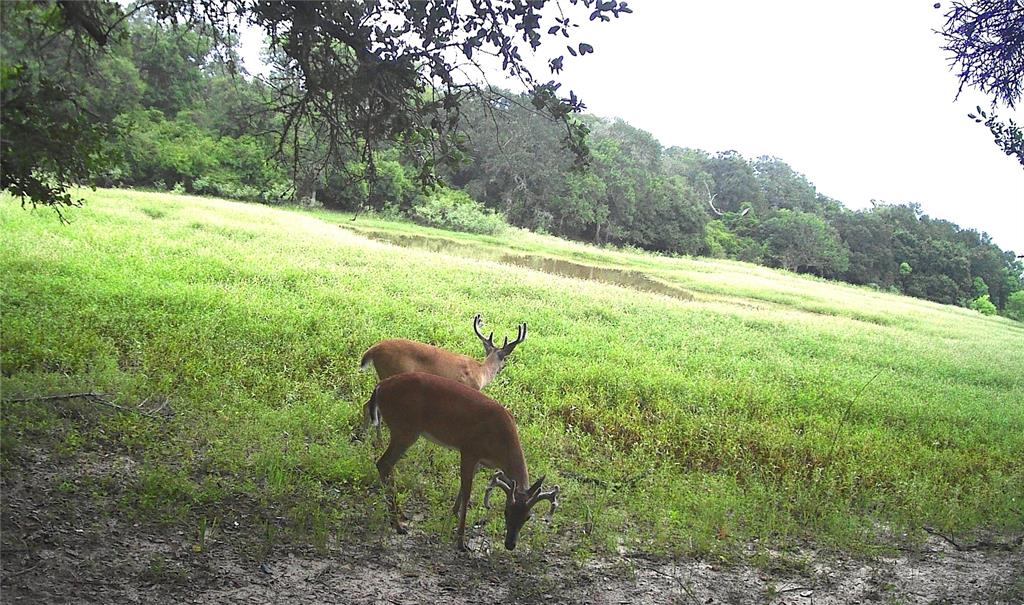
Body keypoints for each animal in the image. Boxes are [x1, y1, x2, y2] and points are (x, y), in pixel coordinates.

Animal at [364, 372, 561, 552]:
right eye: (506, 511)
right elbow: (467, 493)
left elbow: (462, 489)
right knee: (383, 463)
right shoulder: (469, 450)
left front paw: (451, 514)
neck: (501, 443)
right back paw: (397, 525)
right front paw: (461, 542)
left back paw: (401, 515)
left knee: (387, 465)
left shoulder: (480, 461)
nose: (510, 545)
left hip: (404, 430)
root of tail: (380, 386)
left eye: (528, 517)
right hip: (405, 429)